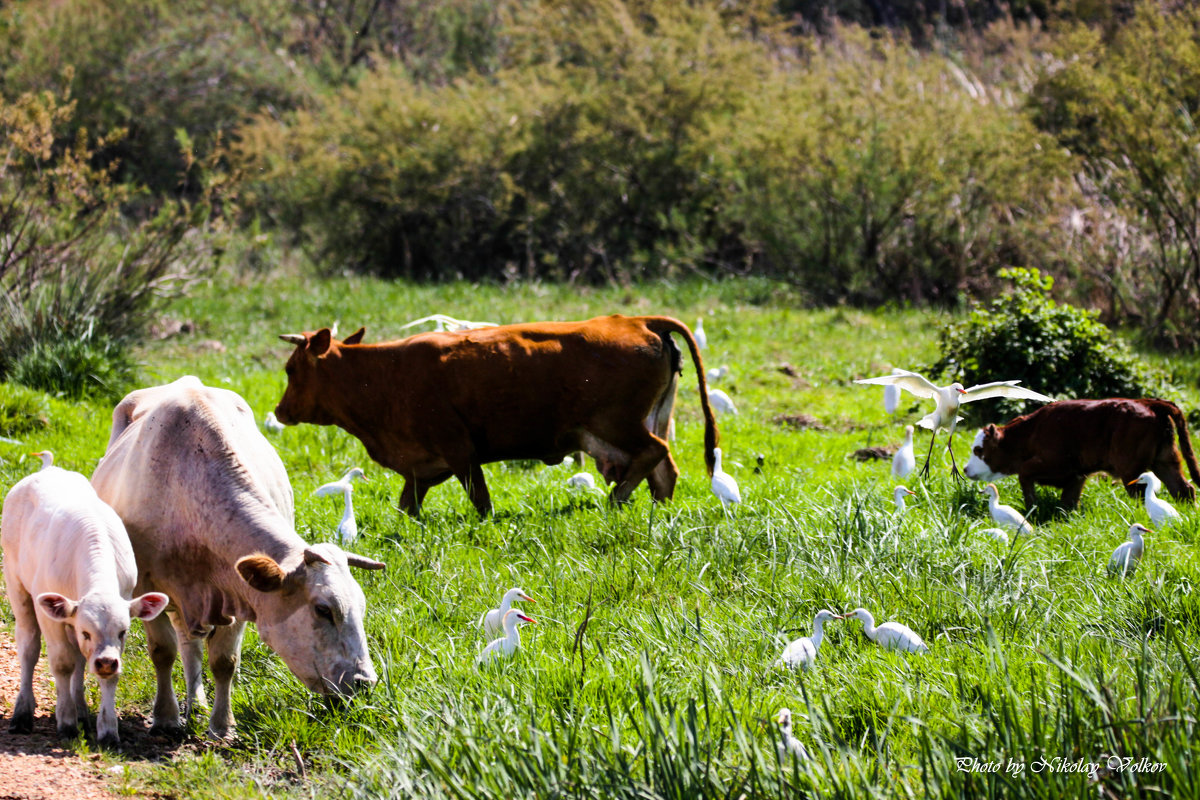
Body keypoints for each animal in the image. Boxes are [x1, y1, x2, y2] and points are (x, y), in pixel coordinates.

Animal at [1, 465, 169, 748]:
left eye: (123, 632)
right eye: (87, 632)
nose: (106, 662)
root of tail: (48, 467)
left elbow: (102, 673)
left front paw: (107, 729)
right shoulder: (52, 618)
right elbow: (62, 663)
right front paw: (66, 722)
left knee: (79, 659)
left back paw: (81, 711)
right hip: (16, 585)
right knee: (28, 646)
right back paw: (23, 712)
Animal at [91, 379, 386, 743]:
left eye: (361, 607)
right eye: (323, 609)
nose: (365, 683)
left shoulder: (239, 596)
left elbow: (224, 661)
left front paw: (221, 725)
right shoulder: (147, 589)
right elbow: (162, 652)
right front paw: (165, 717)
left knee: (191, 645)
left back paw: (198, 703)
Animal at [274, 316, 715, 515]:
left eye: (291, 369)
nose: (280, 410)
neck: (384, 374)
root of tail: (636, 321)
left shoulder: (460, 452)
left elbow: (481, 500)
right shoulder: (419, 470)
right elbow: (407, 506)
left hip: (617, 424)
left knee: (653, 453)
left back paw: (616, 499)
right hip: (646, 421)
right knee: (664, 471)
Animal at [960, 398, 1200, 510]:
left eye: (978, 450)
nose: (965, 468)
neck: (1032, 432)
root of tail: (1149, 403)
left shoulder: (1052, 464)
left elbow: (1025, 474)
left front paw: (1032, 508)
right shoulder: (1077, 475)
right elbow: (1068, 500)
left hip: (1131, 471)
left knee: (1143, 494)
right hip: (1164, 461)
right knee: (1183, 489)